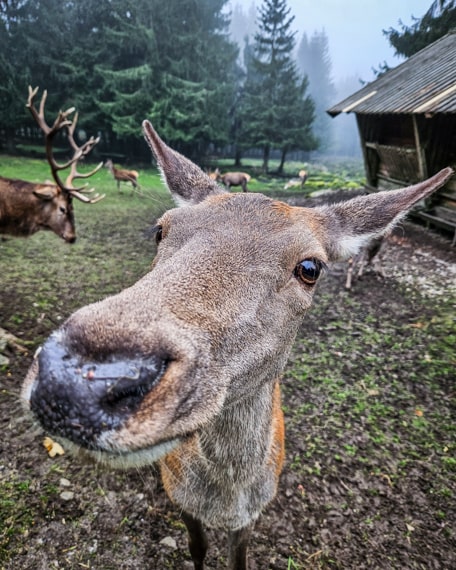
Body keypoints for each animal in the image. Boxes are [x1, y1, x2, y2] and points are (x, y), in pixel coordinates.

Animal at [23, 117, 454, 564]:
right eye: (161, 229)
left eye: (311, 267)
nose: (76, 381)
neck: (226, 498)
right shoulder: (180, 498)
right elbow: (197, 549)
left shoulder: (253, 514)